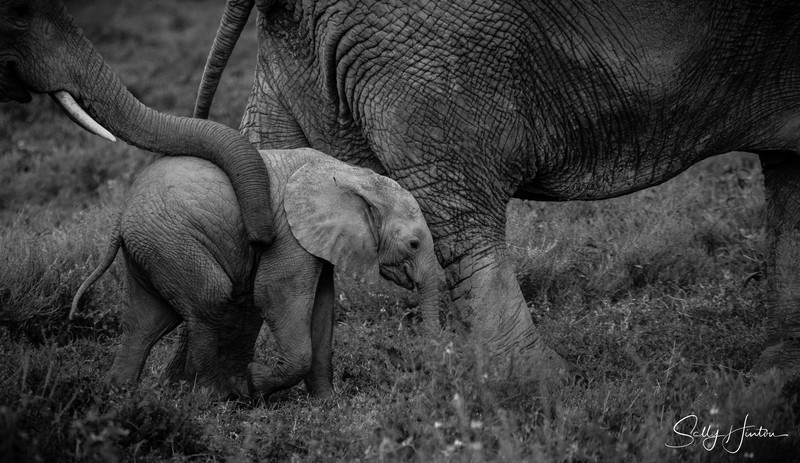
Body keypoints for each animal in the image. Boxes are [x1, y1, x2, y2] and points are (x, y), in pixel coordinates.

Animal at [70, 147, 444, 400]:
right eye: (413, 244)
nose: (414, 370)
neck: (352, 175)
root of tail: (121, 213)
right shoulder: (289, 235)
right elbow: (275, 295)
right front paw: (252, 382)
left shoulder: (316, 240)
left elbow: (322, 310)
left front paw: (326, 402)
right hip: (170, 239)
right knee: (210, 298)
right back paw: (213, 395)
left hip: (151, 245)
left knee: (146, 320)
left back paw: (117, 395)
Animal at [193, 0, 800, 380]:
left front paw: (776, 376)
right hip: (429, 47)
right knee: (459, 207)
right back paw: (542, 387)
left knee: (265, 163)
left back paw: (225, 383)